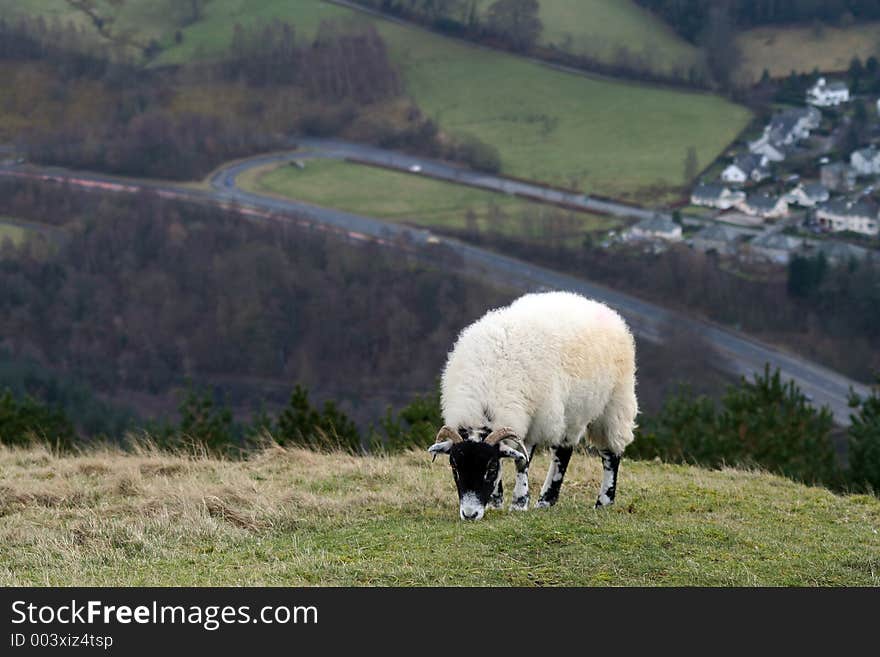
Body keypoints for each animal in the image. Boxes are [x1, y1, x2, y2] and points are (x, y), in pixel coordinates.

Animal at [430, 290, 636, 516]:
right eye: (454, 467)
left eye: (490, 468)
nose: (469, 514)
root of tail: (600, 306)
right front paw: (496, 501)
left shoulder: (534, 421)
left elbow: (522, 462)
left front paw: (519, 503)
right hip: (571, 413)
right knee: (563, 452)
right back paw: (546, 500)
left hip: (614, 404)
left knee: (610, 454)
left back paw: (604, 501)